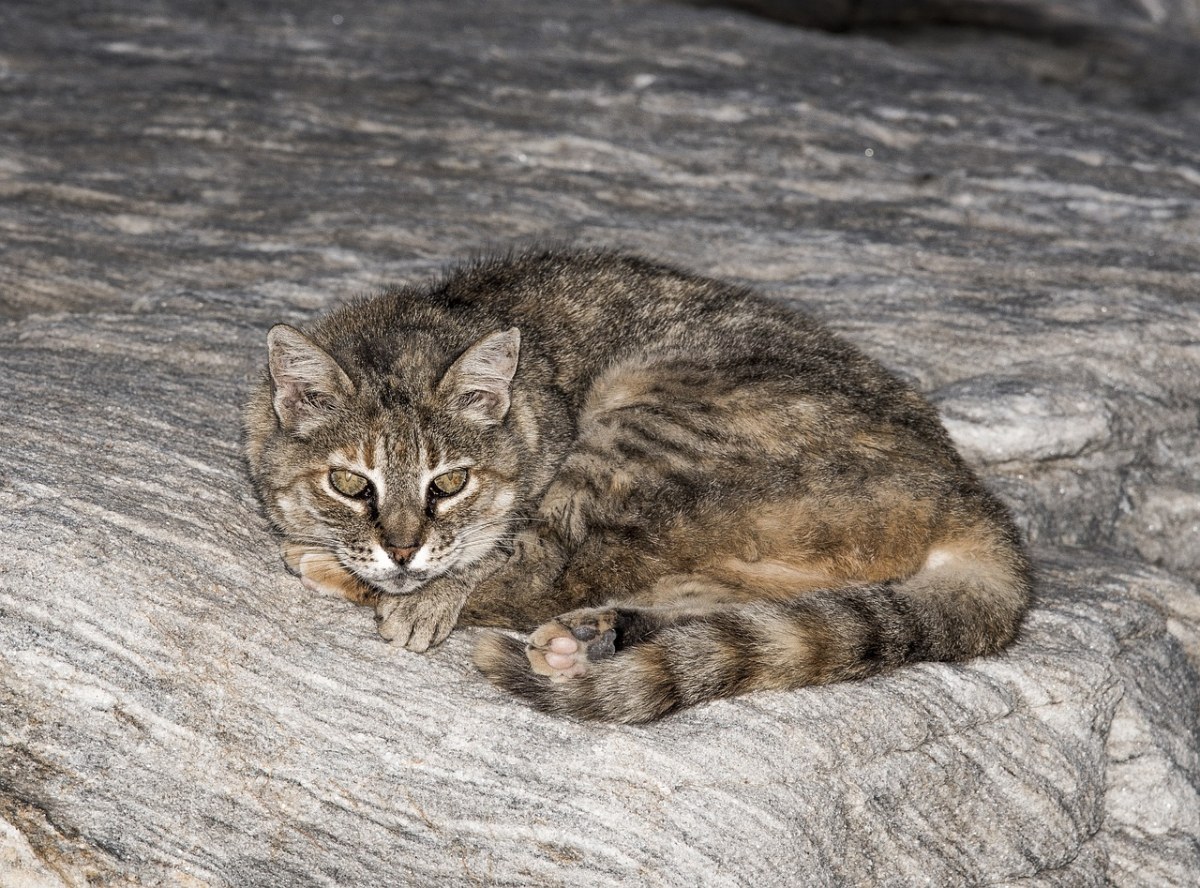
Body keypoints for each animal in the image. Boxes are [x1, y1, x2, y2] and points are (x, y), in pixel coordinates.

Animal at [243, 248, 1032, 720]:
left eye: (452, 481)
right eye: (351, 483)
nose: (404, 552)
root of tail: (969, 497)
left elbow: (487, 562)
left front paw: (407, 593)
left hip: (642, 427)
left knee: (542, 574)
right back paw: (594, 637)